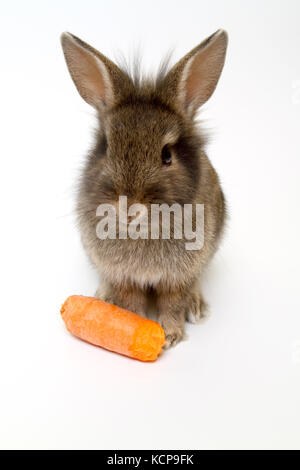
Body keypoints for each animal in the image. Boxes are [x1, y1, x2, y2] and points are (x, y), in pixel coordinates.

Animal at [61, 28, 230, 346]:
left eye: (167, 155)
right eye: (106, 148)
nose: (128, 207)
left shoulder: (178, 276)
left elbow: (173, 303)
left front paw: (171, 335)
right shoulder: (124, 277)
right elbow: (132, 302)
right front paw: (136, 325)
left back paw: (196, 306)